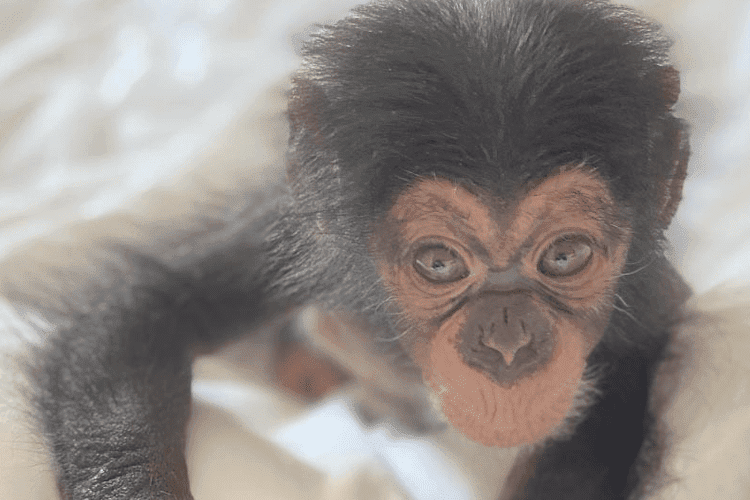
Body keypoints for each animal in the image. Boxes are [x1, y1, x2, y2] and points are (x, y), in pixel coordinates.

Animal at [0, 0, 692, 498]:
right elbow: (150, 311)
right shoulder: (291, 230)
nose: (507, 339)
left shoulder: (649, 291)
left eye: (564, 256)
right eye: (439, 263)